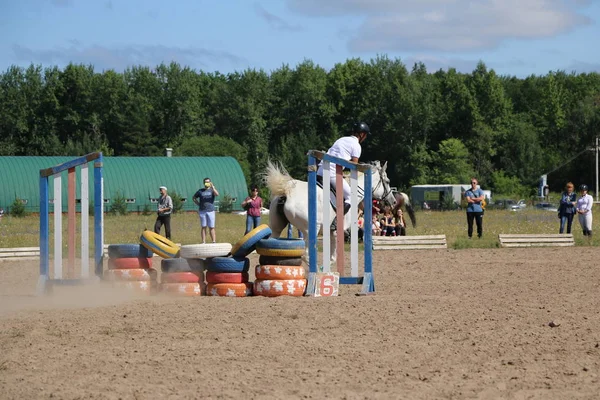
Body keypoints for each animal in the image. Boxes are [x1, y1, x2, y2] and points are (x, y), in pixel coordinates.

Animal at [264, 159, 396, 262]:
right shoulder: (339, 230)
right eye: (388, 181)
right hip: (310, 229)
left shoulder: (332, 231)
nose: (394, 201)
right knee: (306, 256)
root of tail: (287, 192)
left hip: (277, 227)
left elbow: (332, 257)